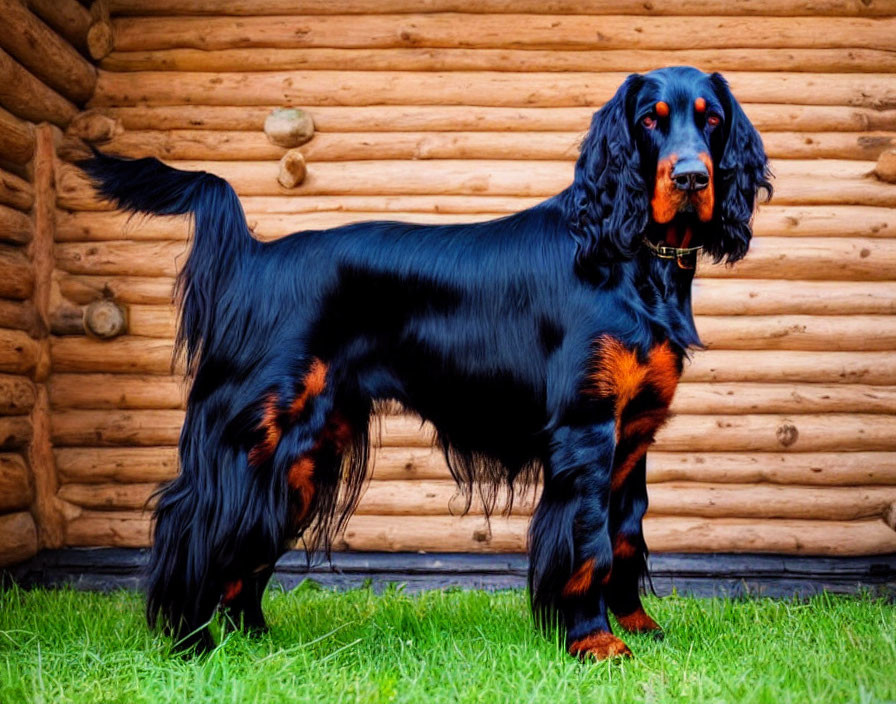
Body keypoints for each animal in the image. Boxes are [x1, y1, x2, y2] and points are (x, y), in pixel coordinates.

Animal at [82, 66, 768, 660]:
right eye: (650, 120)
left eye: (711, 119)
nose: (691, 179)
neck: (632, 259)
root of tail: (256, 257)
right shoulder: (586, 429)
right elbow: (589, 542)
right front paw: (594, 642)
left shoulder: (634, 432)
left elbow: (625, 535)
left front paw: (639, 627)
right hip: (256, 430)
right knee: (194, 522)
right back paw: (189, 642)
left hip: (305, 450)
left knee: (249, 537)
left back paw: (253, 639)